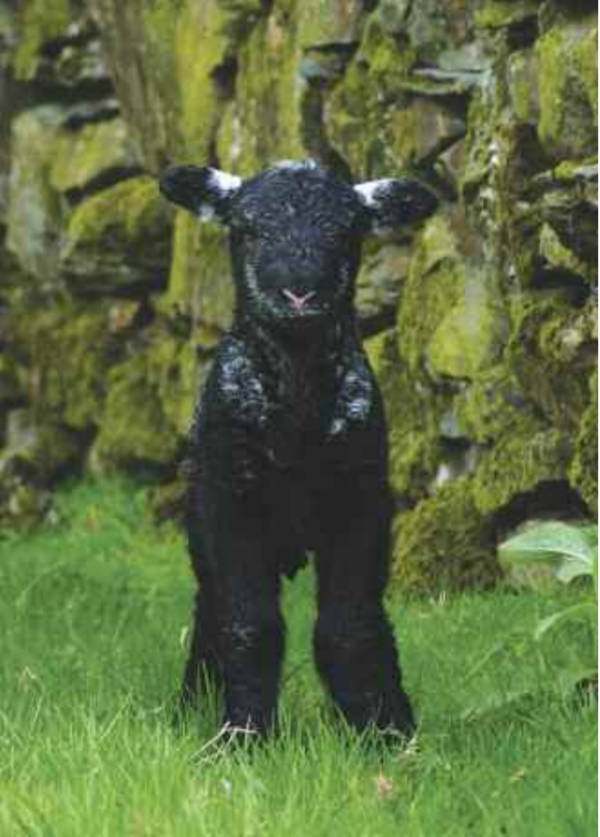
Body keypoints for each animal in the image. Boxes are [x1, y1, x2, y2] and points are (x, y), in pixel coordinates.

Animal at [159, 160, 437, 739]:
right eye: (249, 230)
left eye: (345, 233)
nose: (299, 294)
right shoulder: (228, 500)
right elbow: (248, 623)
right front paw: (241, 736)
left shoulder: (362, 499)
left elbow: (350, 624)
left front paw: (384, 731)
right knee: (210, 608)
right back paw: (192, 708)